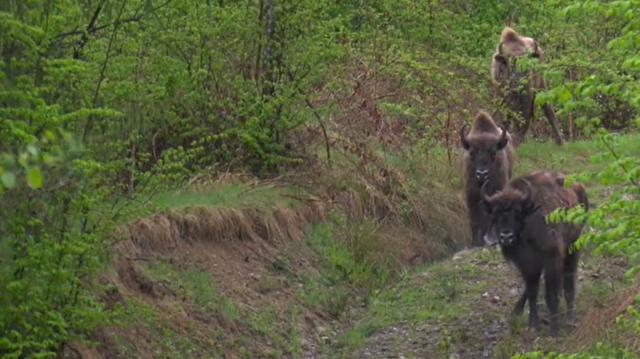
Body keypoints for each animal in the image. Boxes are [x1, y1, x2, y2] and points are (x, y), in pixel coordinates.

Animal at [460, 111, 516, 249]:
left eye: (493, 152)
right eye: (472, 152)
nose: (482, 174)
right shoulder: (470, 195)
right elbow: (474, 220)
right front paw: (475, 243)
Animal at [480, 169, 592, 338]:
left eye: (518, 212)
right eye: (495, 213)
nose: (506, 237)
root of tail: (579, 187)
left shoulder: (551, 262)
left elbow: (551, 296)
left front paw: (554, 331)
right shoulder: (527, 266)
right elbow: (532, 292)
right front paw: (533, 325)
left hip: (572, 249)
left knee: (568, 283)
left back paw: (569, 319)